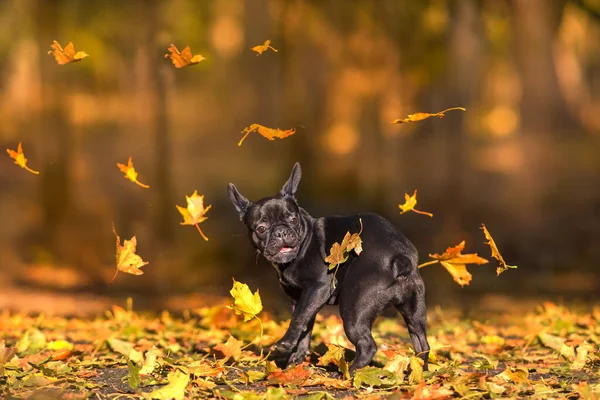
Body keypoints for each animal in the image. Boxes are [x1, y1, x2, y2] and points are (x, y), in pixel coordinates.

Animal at [227, 162, 428, 372]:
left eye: (293, 220)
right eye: (261, 229)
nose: (281, 231)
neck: (305, 242)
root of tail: (400, 257)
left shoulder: (318, 288)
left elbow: (298, 319)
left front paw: (285, 345)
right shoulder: (300, 298)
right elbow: (305, 327)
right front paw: (296, 360)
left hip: (354, 306)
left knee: (367, 345)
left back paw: (349, 371)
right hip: (413, 310)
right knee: (421, 341)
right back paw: (419, 370)